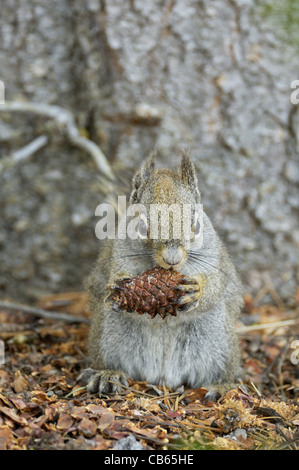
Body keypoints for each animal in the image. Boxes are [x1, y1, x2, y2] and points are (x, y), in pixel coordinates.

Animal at [78, 151, 245, 400]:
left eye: (196, 225)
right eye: (141, 226)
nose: (172, 258)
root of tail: (163, 376)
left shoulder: (216, 261)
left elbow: (215, 286)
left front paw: (197, 290)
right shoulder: (117, 255)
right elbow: (113, 276)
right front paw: (117, 283)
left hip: (218, 339)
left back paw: (223, 387)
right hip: (108, 333)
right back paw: (106, 374)